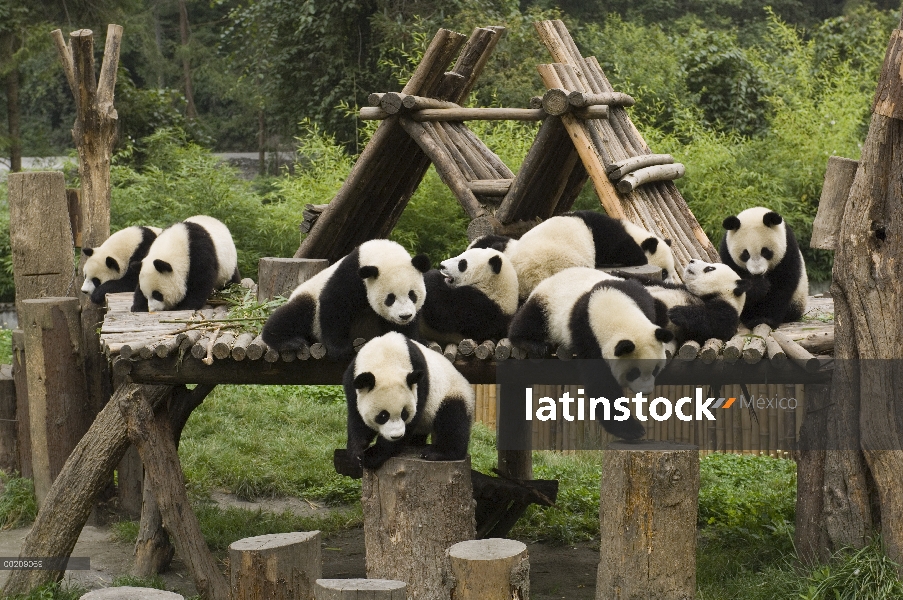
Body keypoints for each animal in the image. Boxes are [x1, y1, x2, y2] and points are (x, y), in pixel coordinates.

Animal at [262, 239, 430, 360]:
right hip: (308, 301)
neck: (381, 253)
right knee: (295, 313)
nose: (404, 316)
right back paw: (289, 342)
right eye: (390, 298)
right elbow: (334, 303)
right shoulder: (351, 275)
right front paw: (340, 349)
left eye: (412, 295)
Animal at [342, 330, 476, 472]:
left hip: (453, 391)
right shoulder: (352, 380)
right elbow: (357, 419)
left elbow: (414, 418)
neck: (384, 358)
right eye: (383, 416)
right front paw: (356, 456)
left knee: (452, 419)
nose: (396, 436)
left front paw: (373, 456)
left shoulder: (419, 381)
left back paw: (437, 453)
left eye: (404, 414)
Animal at [508, 268, 672, 440]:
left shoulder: (639, 298)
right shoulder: (585, 334)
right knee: (529, 319)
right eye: (634, 373)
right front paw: (631, 430)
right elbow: (601, 384)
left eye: (655, 369)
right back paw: (533, 344)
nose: (646, 391)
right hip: (546, 304)